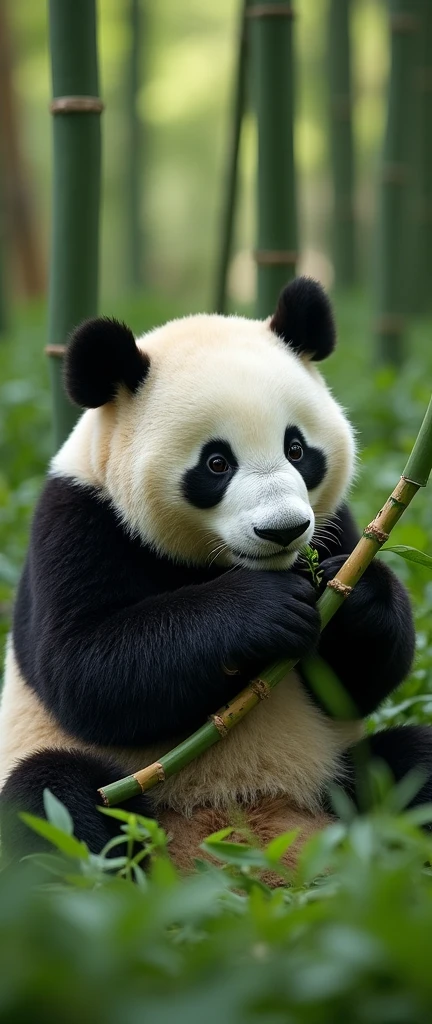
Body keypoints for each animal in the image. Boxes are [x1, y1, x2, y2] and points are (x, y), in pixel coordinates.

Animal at [0, 274, 427, 872]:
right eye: (216, 463)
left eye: (297, 449)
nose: (283, 530)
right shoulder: (80, 521)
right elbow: (84, 669)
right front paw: (264, 610)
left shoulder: (334, 522)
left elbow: (359, 684)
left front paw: (353, 596)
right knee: (51, 799)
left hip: (339, 773)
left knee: (409, 763)